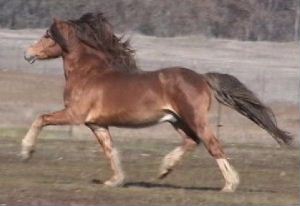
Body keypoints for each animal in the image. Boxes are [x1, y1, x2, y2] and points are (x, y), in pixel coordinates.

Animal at [21, 12, 292, 192]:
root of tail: (202, 77)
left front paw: (26, 152)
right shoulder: (96, 124)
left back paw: (229, 185)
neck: (89, 74)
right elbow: (109, 150)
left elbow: (41, 118)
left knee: (212, 144)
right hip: (177, 119)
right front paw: (115, 180)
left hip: (194, 118)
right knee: (192, 141)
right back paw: (164, 169)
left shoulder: (74, 115)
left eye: (47, 35)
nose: (27, 53)